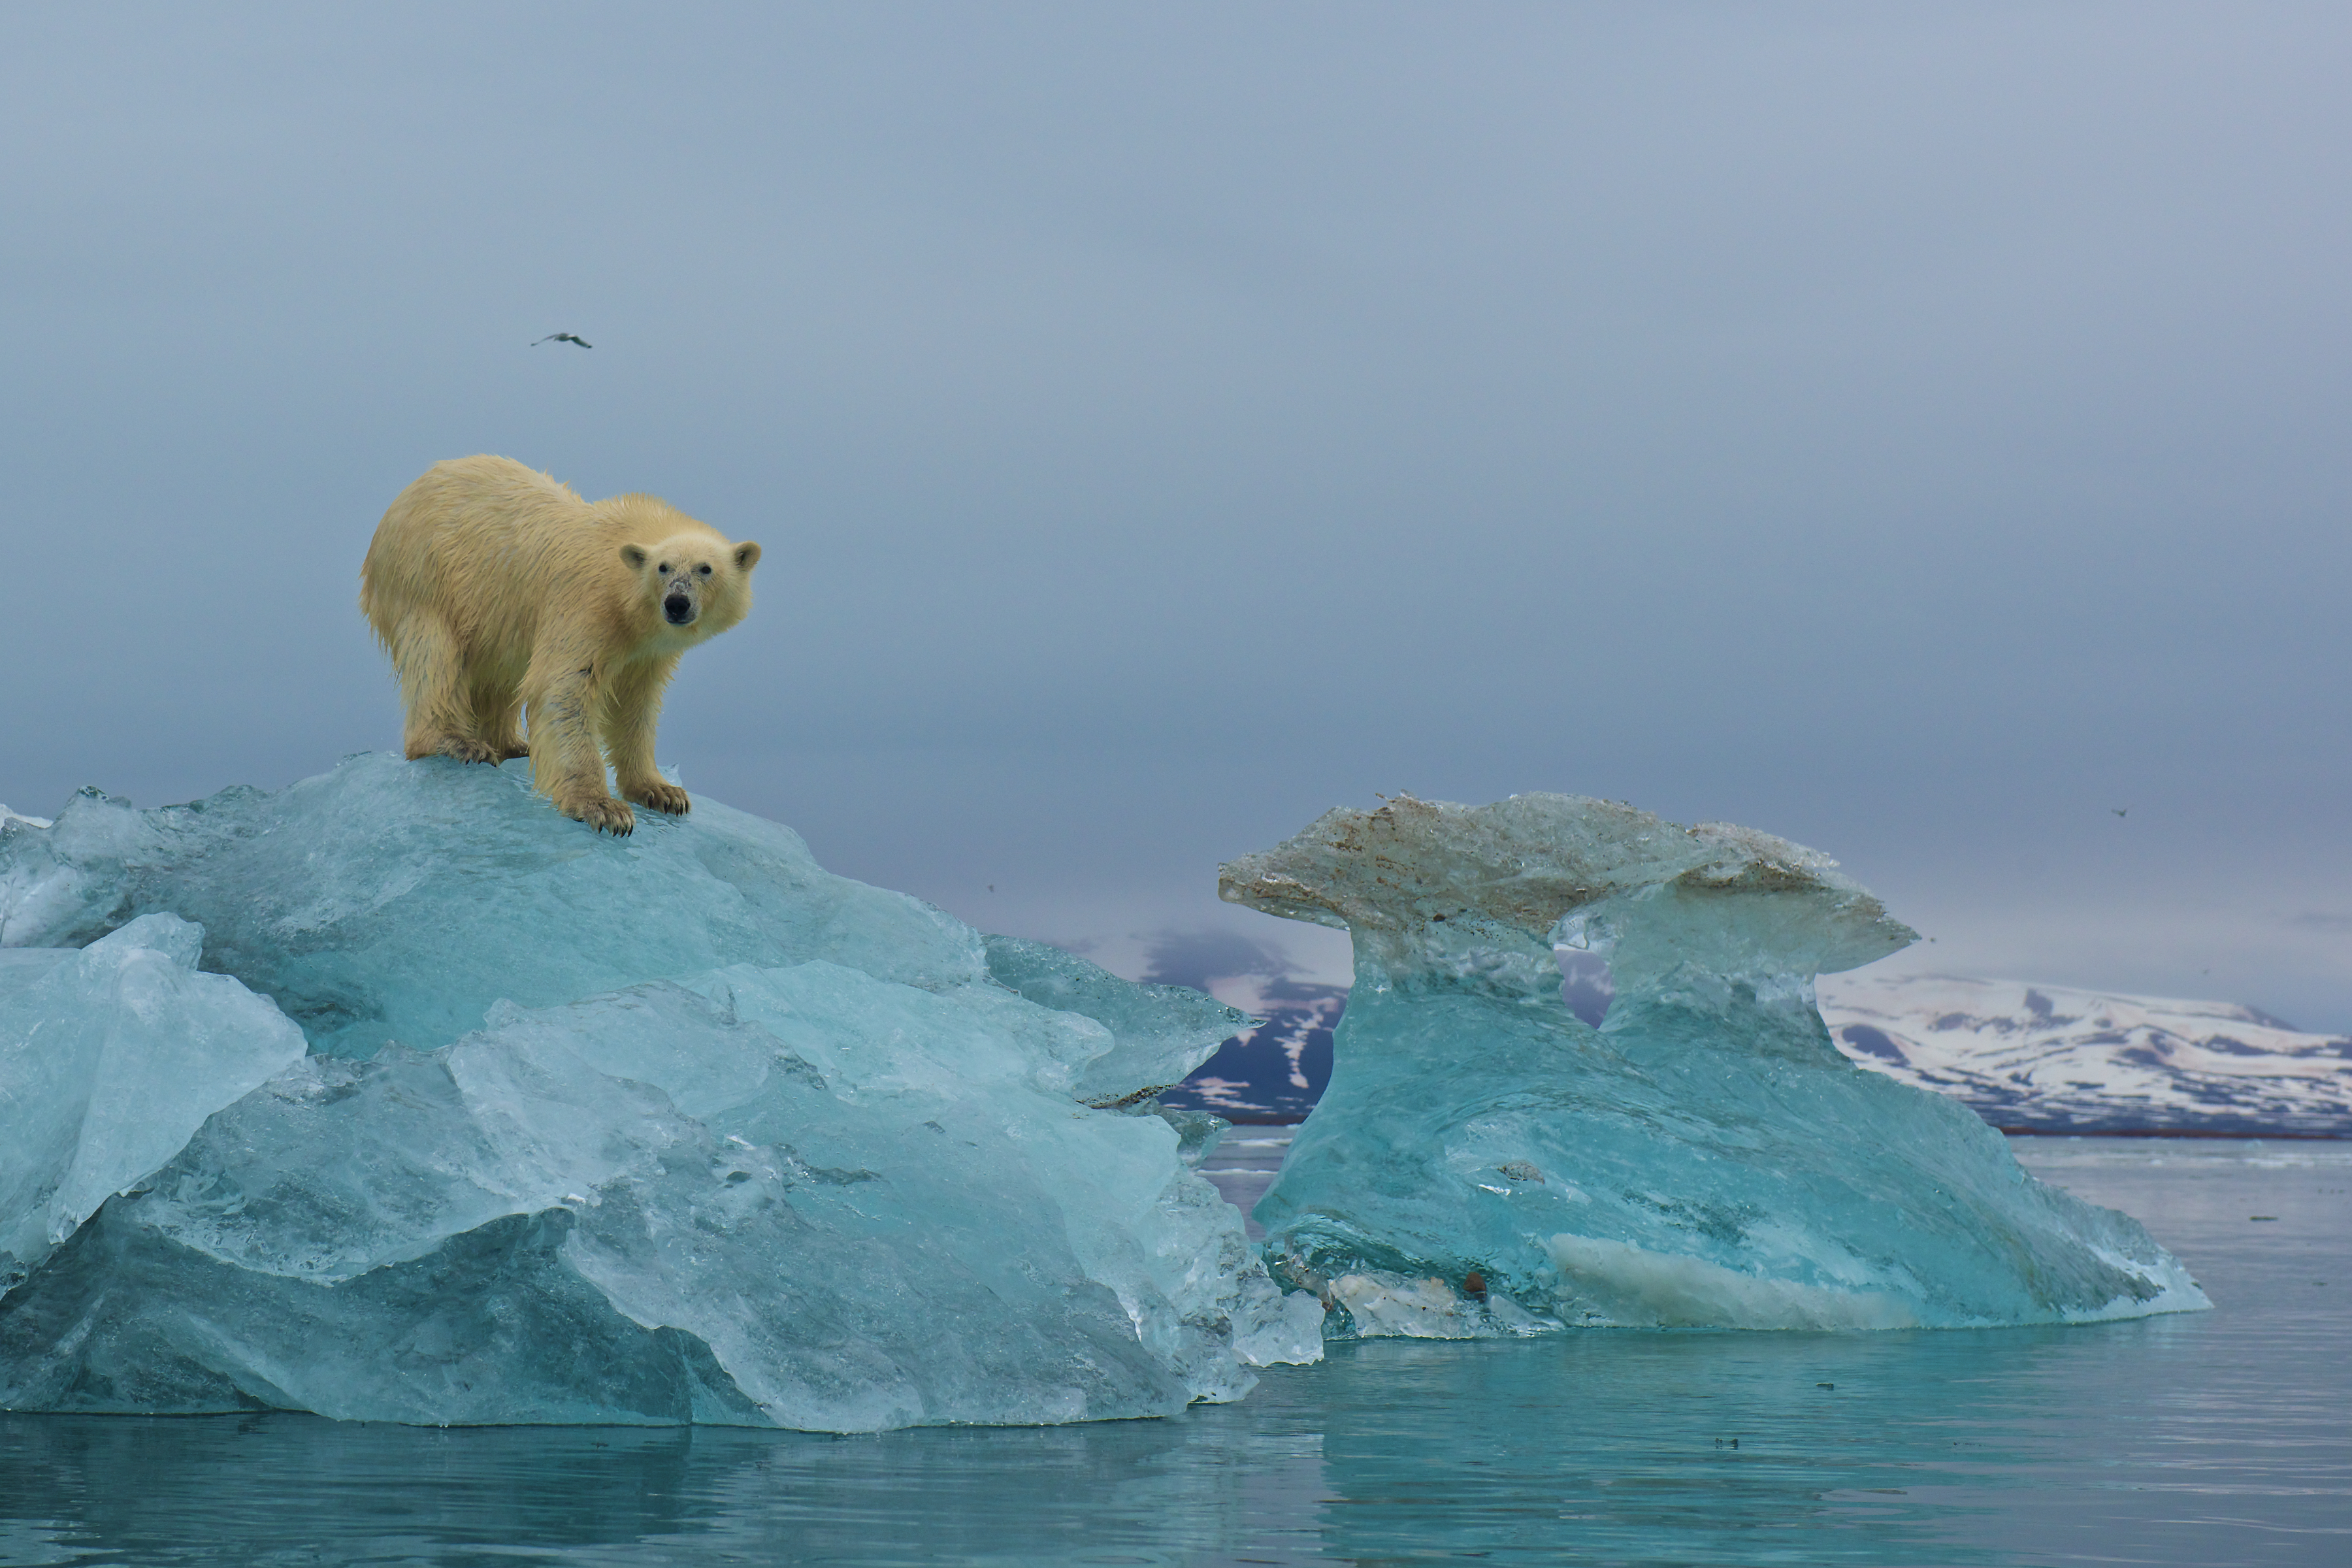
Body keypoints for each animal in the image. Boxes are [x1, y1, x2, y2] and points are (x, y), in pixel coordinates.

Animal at [359, 455, 761, 835]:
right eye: (663, 567)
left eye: (705, 568)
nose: (677, 603)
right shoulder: (586, 605)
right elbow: (565, 688)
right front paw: (603, 808)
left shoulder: (647, 652)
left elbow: (634, 706)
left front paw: (663, 792)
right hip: (426, 576)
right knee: (435, 654)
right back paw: (458, 742)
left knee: (498, 675)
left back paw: (512, 745)